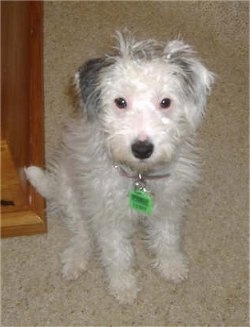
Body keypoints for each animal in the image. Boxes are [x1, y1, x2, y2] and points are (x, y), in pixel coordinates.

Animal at [25, 32, 214, 304]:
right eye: (120, 102)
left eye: (165, 102)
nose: (142, 148)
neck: (139, 175)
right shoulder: (108, 216)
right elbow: (117, 254)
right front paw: (123, 286)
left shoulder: (170, 204)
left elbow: (167, 237)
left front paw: (171, 265)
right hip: (73, 195)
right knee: (81, 231)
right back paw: (75, 259)